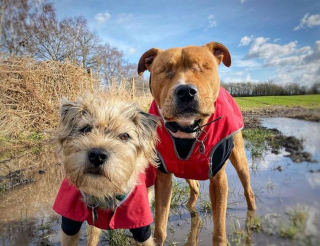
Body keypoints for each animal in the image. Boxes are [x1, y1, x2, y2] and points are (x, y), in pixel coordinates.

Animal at [138, 41, 258, 245]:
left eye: (202, 67)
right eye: (166, 70)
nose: (186, 91)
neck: (187, 128)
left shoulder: (218, 178)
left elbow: (219, 229)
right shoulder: (163, 177)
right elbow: (160, 226)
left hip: (240, 158)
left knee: (247, 188)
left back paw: (252, 215)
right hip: (185, 167)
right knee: (194, 186)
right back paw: (191, 207)